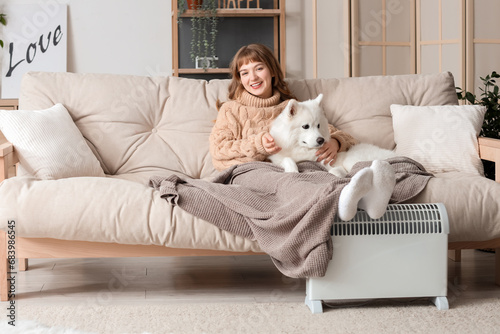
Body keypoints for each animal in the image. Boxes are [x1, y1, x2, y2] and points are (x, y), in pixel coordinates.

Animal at [268, 94, 396, 176]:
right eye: (305, 126)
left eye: (318, 125)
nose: (321, 140)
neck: (300, 148)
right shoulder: (277, 157)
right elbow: (287, 159)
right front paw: (292, 170)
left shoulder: (326, 159)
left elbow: (335, 170)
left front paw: (339, 174)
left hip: (351, 160)